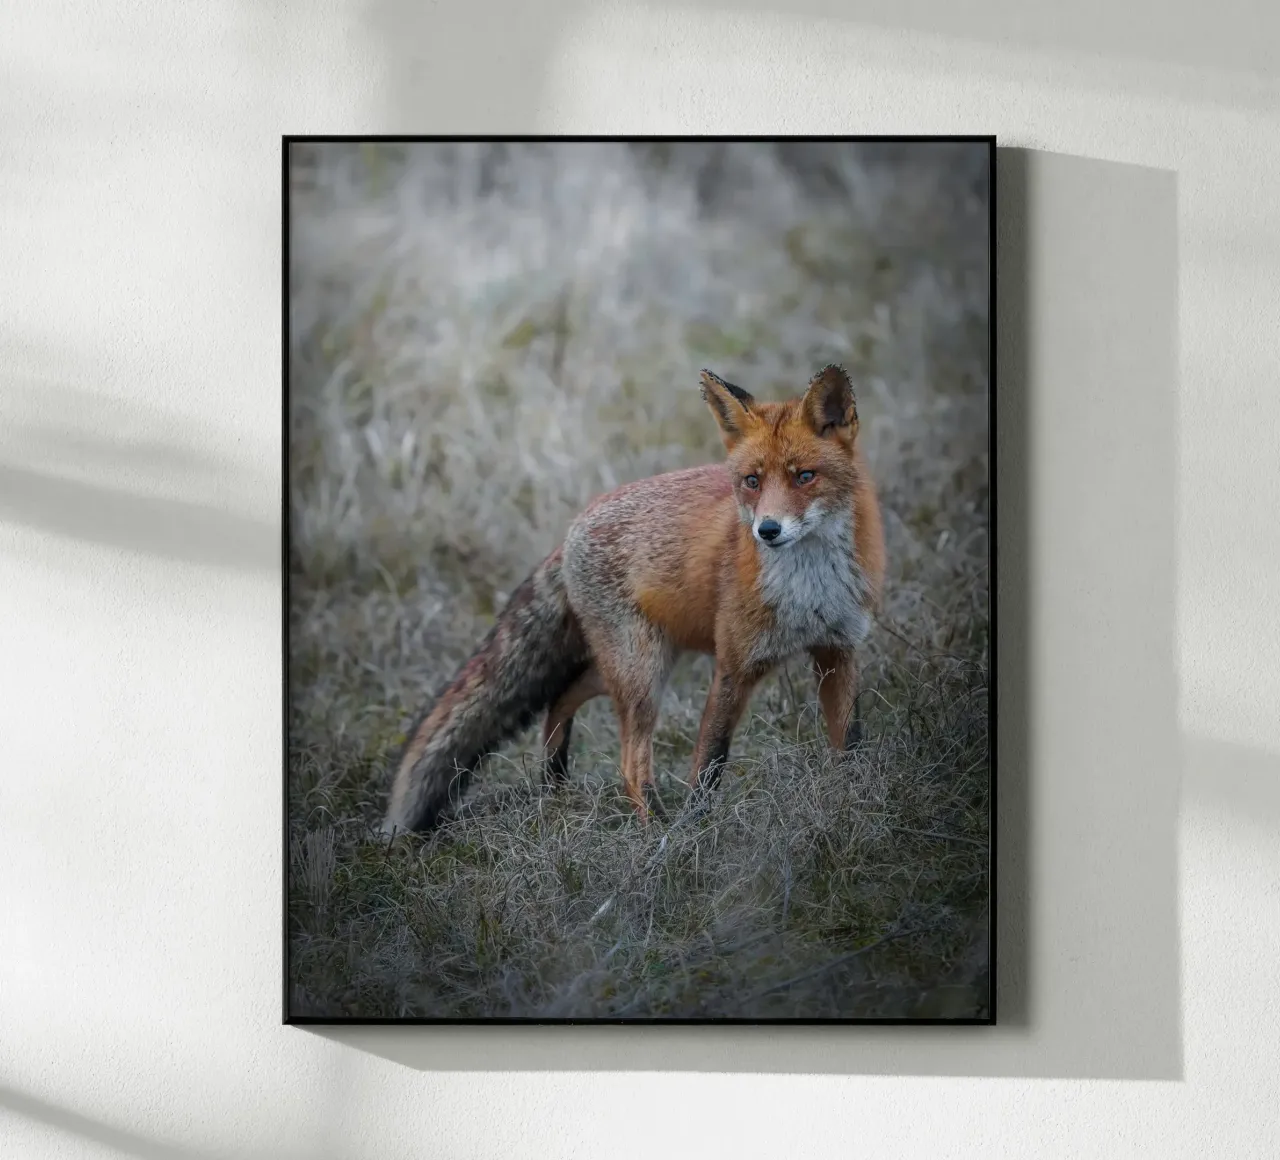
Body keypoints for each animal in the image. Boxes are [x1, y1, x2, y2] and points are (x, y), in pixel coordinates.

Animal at [381, 363, 886, 835]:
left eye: (805, 477)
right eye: (751, 481)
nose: (767, 530)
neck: (808, 589)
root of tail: (571, 530)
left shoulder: (838, 649)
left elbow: (851, 743)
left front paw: (854, 806)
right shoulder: (735, 664)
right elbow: (709, 765)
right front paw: (693, 836)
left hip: (637, 664)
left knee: (561, 695)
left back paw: (555, 779)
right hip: (642, 671)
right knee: (629, 762)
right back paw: (654, 831)